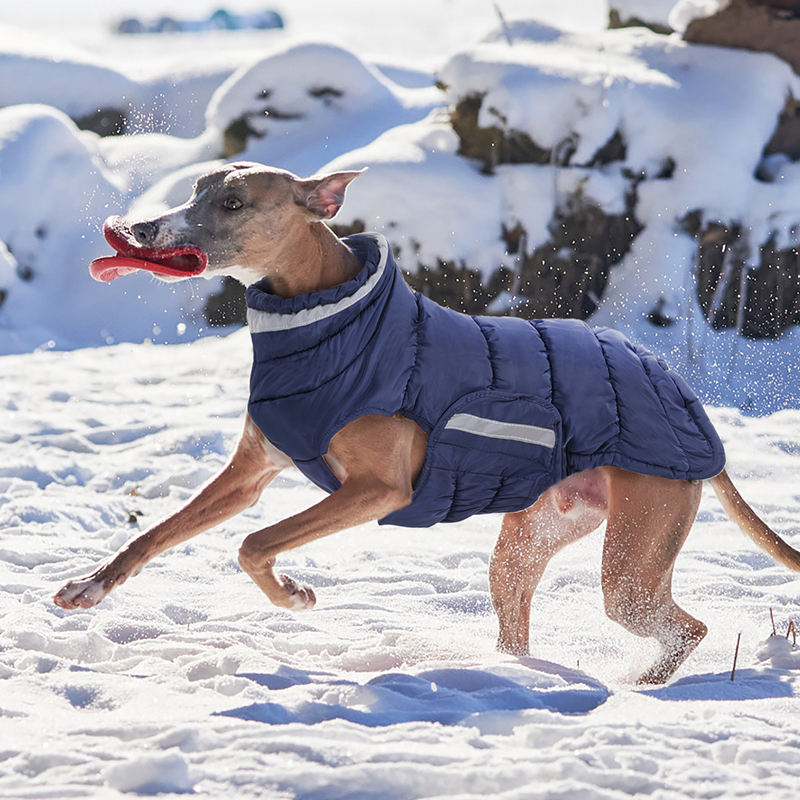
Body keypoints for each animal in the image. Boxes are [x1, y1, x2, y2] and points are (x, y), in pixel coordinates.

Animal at [53, 161, 800, 680]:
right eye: (196, 191)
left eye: (234, 203)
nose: (138, 230)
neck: (323, 320)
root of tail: (690, 406)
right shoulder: (250, 473)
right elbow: (157, 534)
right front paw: (92, 585)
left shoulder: (379, 490)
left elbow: (253, 544)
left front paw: (292, 597)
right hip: (531, 540)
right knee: (519, 614)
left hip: (634, 553)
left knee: (686, 627)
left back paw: (639, 686)